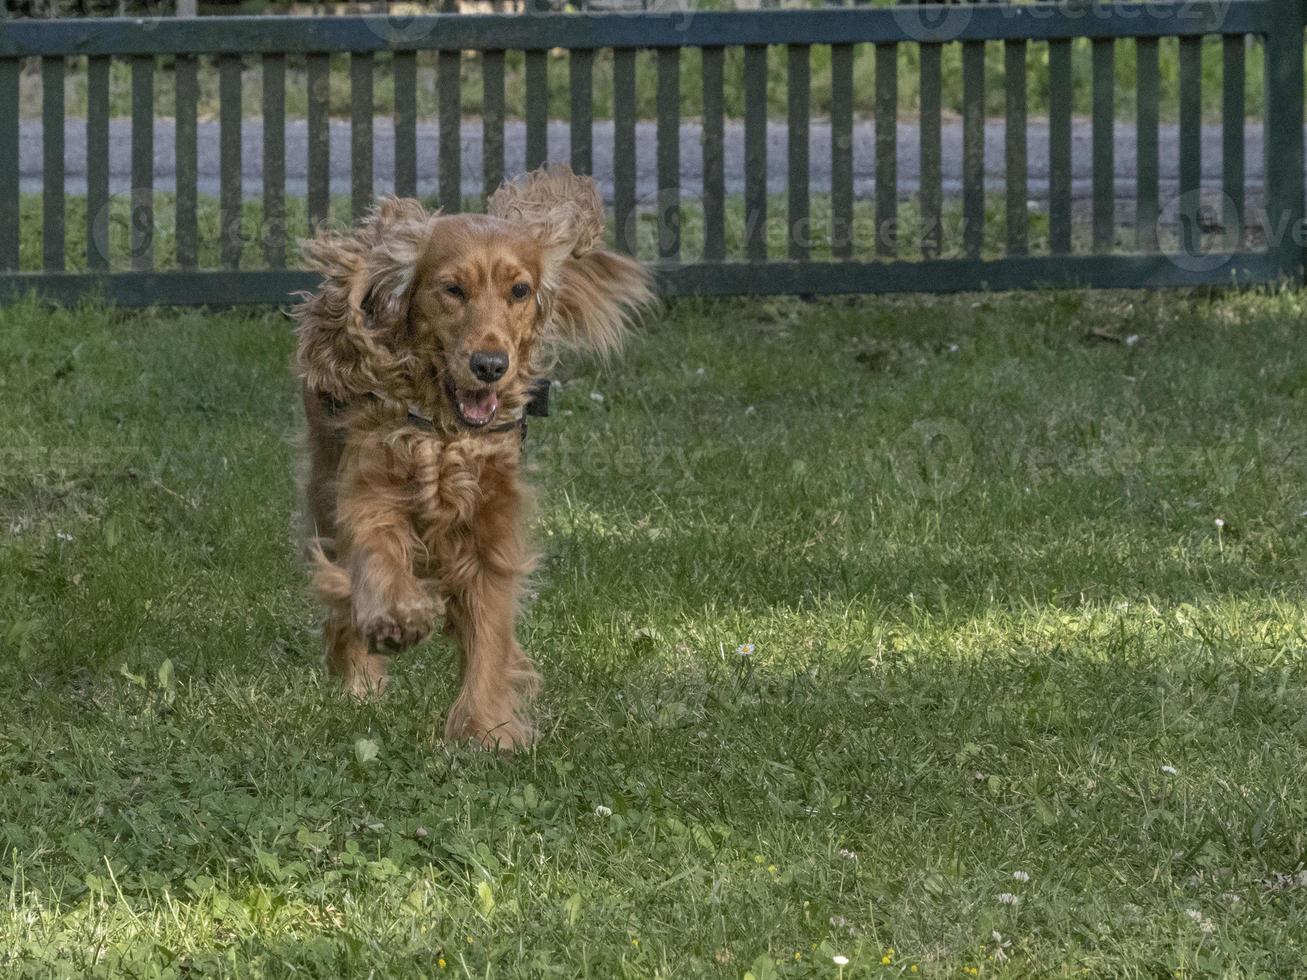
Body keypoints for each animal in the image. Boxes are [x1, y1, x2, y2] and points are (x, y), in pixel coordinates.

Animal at [291, 167, 648, 752]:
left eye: (519, 290)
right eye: (452, 289)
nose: (490, 365)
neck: (445, 436)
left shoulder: (490, 533)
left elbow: (490, 633)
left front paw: (487, 730)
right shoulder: (367, 492)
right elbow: (377, 557)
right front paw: (399, 617)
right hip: (323, 483)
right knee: (339, 586)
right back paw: (360, 675)